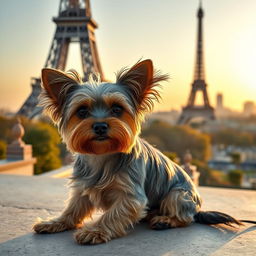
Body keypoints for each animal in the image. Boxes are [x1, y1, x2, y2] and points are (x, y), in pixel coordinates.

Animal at [32, 59, 242, 244]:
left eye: (117, 109)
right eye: (82, 111)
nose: (100, 126)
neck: (102, 155)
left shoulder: (131, 195)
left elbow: (113, 214)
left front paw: (95, 231)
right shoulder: (83, 186)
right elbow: (73, 208)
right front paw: (55, 222)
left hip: (178, 194)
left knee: (186, 217)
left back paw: (165, 220)